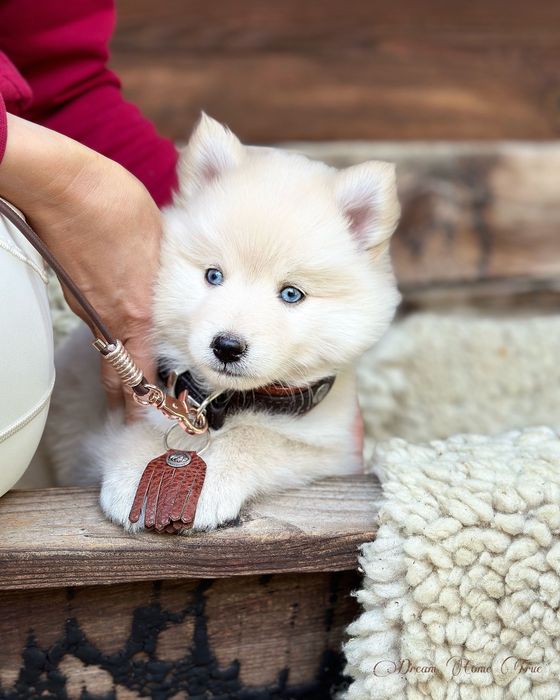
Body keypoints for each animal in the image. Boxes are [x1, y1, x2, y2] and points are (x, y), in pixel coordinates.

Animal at [46, 116, 400, 532]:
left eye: (291, 294)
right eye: (213, 276)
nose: (227, 346)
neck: (220, 402)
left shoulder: (332, 449)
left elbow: (260, 438)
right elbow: (138, 431)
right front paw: (136, 470)